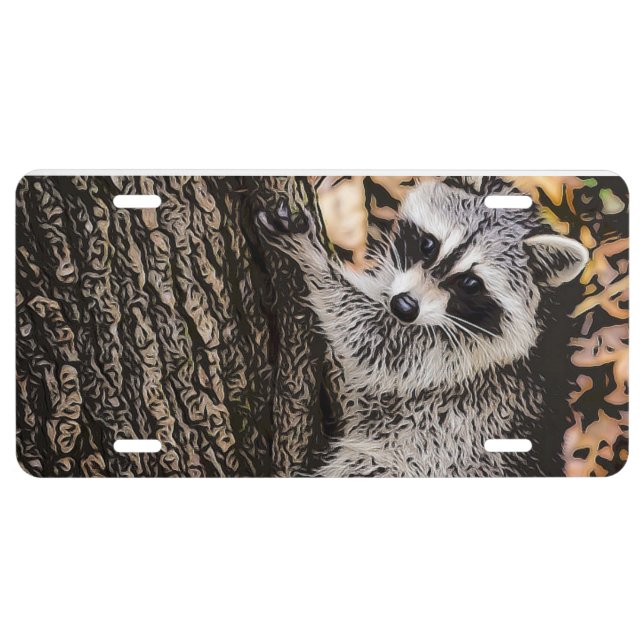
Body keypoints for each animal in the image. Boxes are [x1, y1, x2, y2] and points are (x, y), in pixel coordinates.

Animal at [257, 177, 589, 477]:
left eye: (470, 283)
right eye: (428, 244)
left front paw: (314, 260)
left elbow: (378, 345)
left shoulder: (463, 361)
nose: (403, 307)